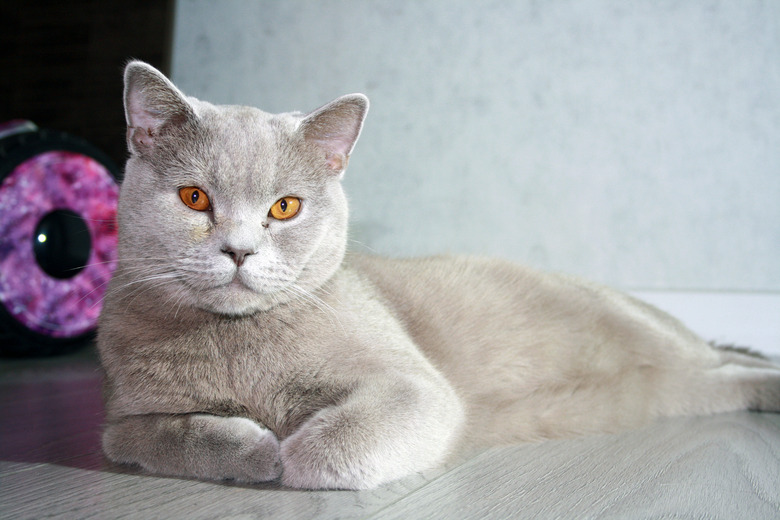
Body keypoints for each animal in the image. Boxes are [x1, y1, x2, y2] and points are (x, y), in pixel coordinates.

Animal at [97, 61, 780, 492]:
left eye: (285, 208)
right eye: (194, 198)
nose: (239, 250)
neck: (235, 344)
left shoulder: (415, 387)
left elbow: (334, 444)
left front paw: (288, 452)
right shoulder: (121, 416)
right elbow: (146, 438)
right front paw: (251, 447)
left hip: (646, 332)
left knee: (722, 358)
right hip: (672, 389)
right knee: (716, 380)